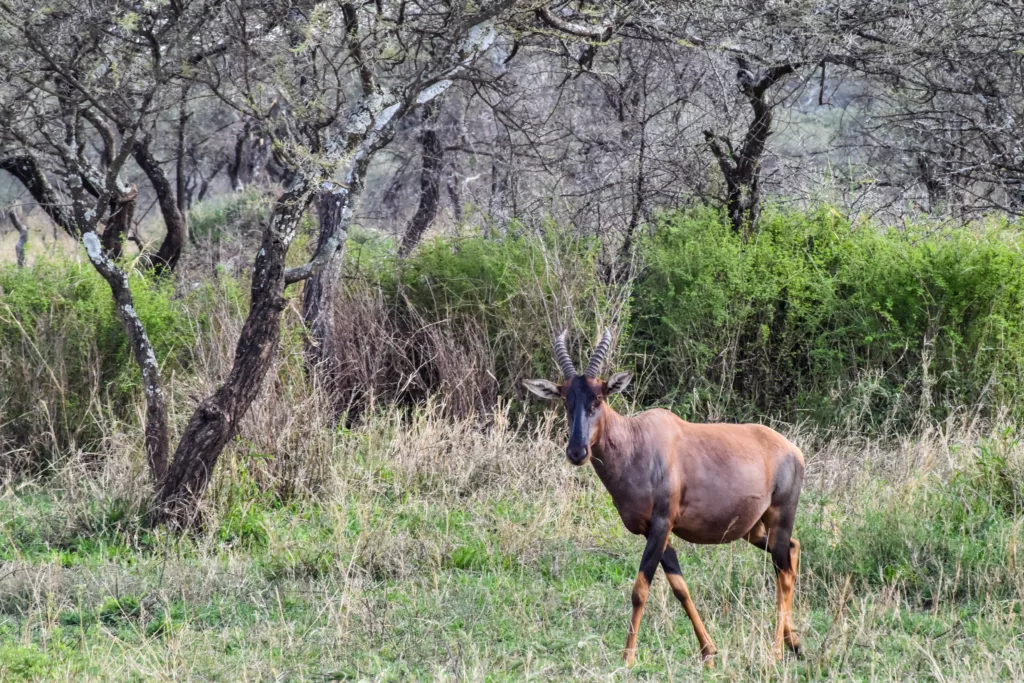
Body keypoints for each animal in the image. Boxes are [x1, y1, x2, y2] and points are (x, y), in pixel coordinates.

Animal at [524, 331, 802, 667]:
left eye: (599, 398)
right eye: (566, 399)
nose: (577, 452)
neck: (637, 440)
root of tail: (792, 450)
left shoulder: (661, 523)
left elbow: (640, 589)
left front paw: (627, 659)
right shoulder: (655, 530)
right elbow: (680, 587)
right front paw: (709, 652)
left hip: (779, 517)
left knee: (782, 572)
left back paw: (776, 652)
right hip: (754, 528)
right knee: (793, 550)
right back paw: (794, 642)